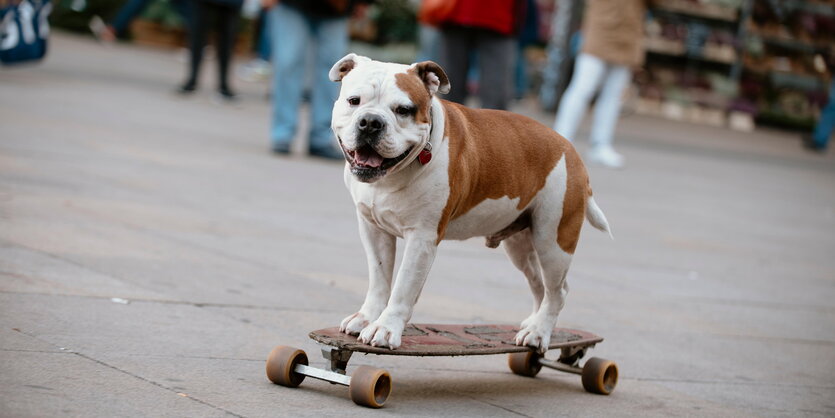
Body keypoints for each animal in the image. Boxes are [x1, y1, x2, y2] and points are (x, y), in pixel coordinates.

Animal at [330, 53, 612, 352]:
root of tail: (570, 149)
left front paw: (385, 328)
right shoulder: (373, 230)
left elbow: (403, 287)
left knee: (558, 291)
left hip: (553, 243)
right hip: (521, 245)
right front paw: (367, 317)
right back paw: (533, 324)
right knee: (540, 286)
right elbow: (379, 279)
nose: (371, 121)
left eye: (404, 110)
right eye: (354, 100)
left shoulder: (422, 239)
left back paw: (539, 333)